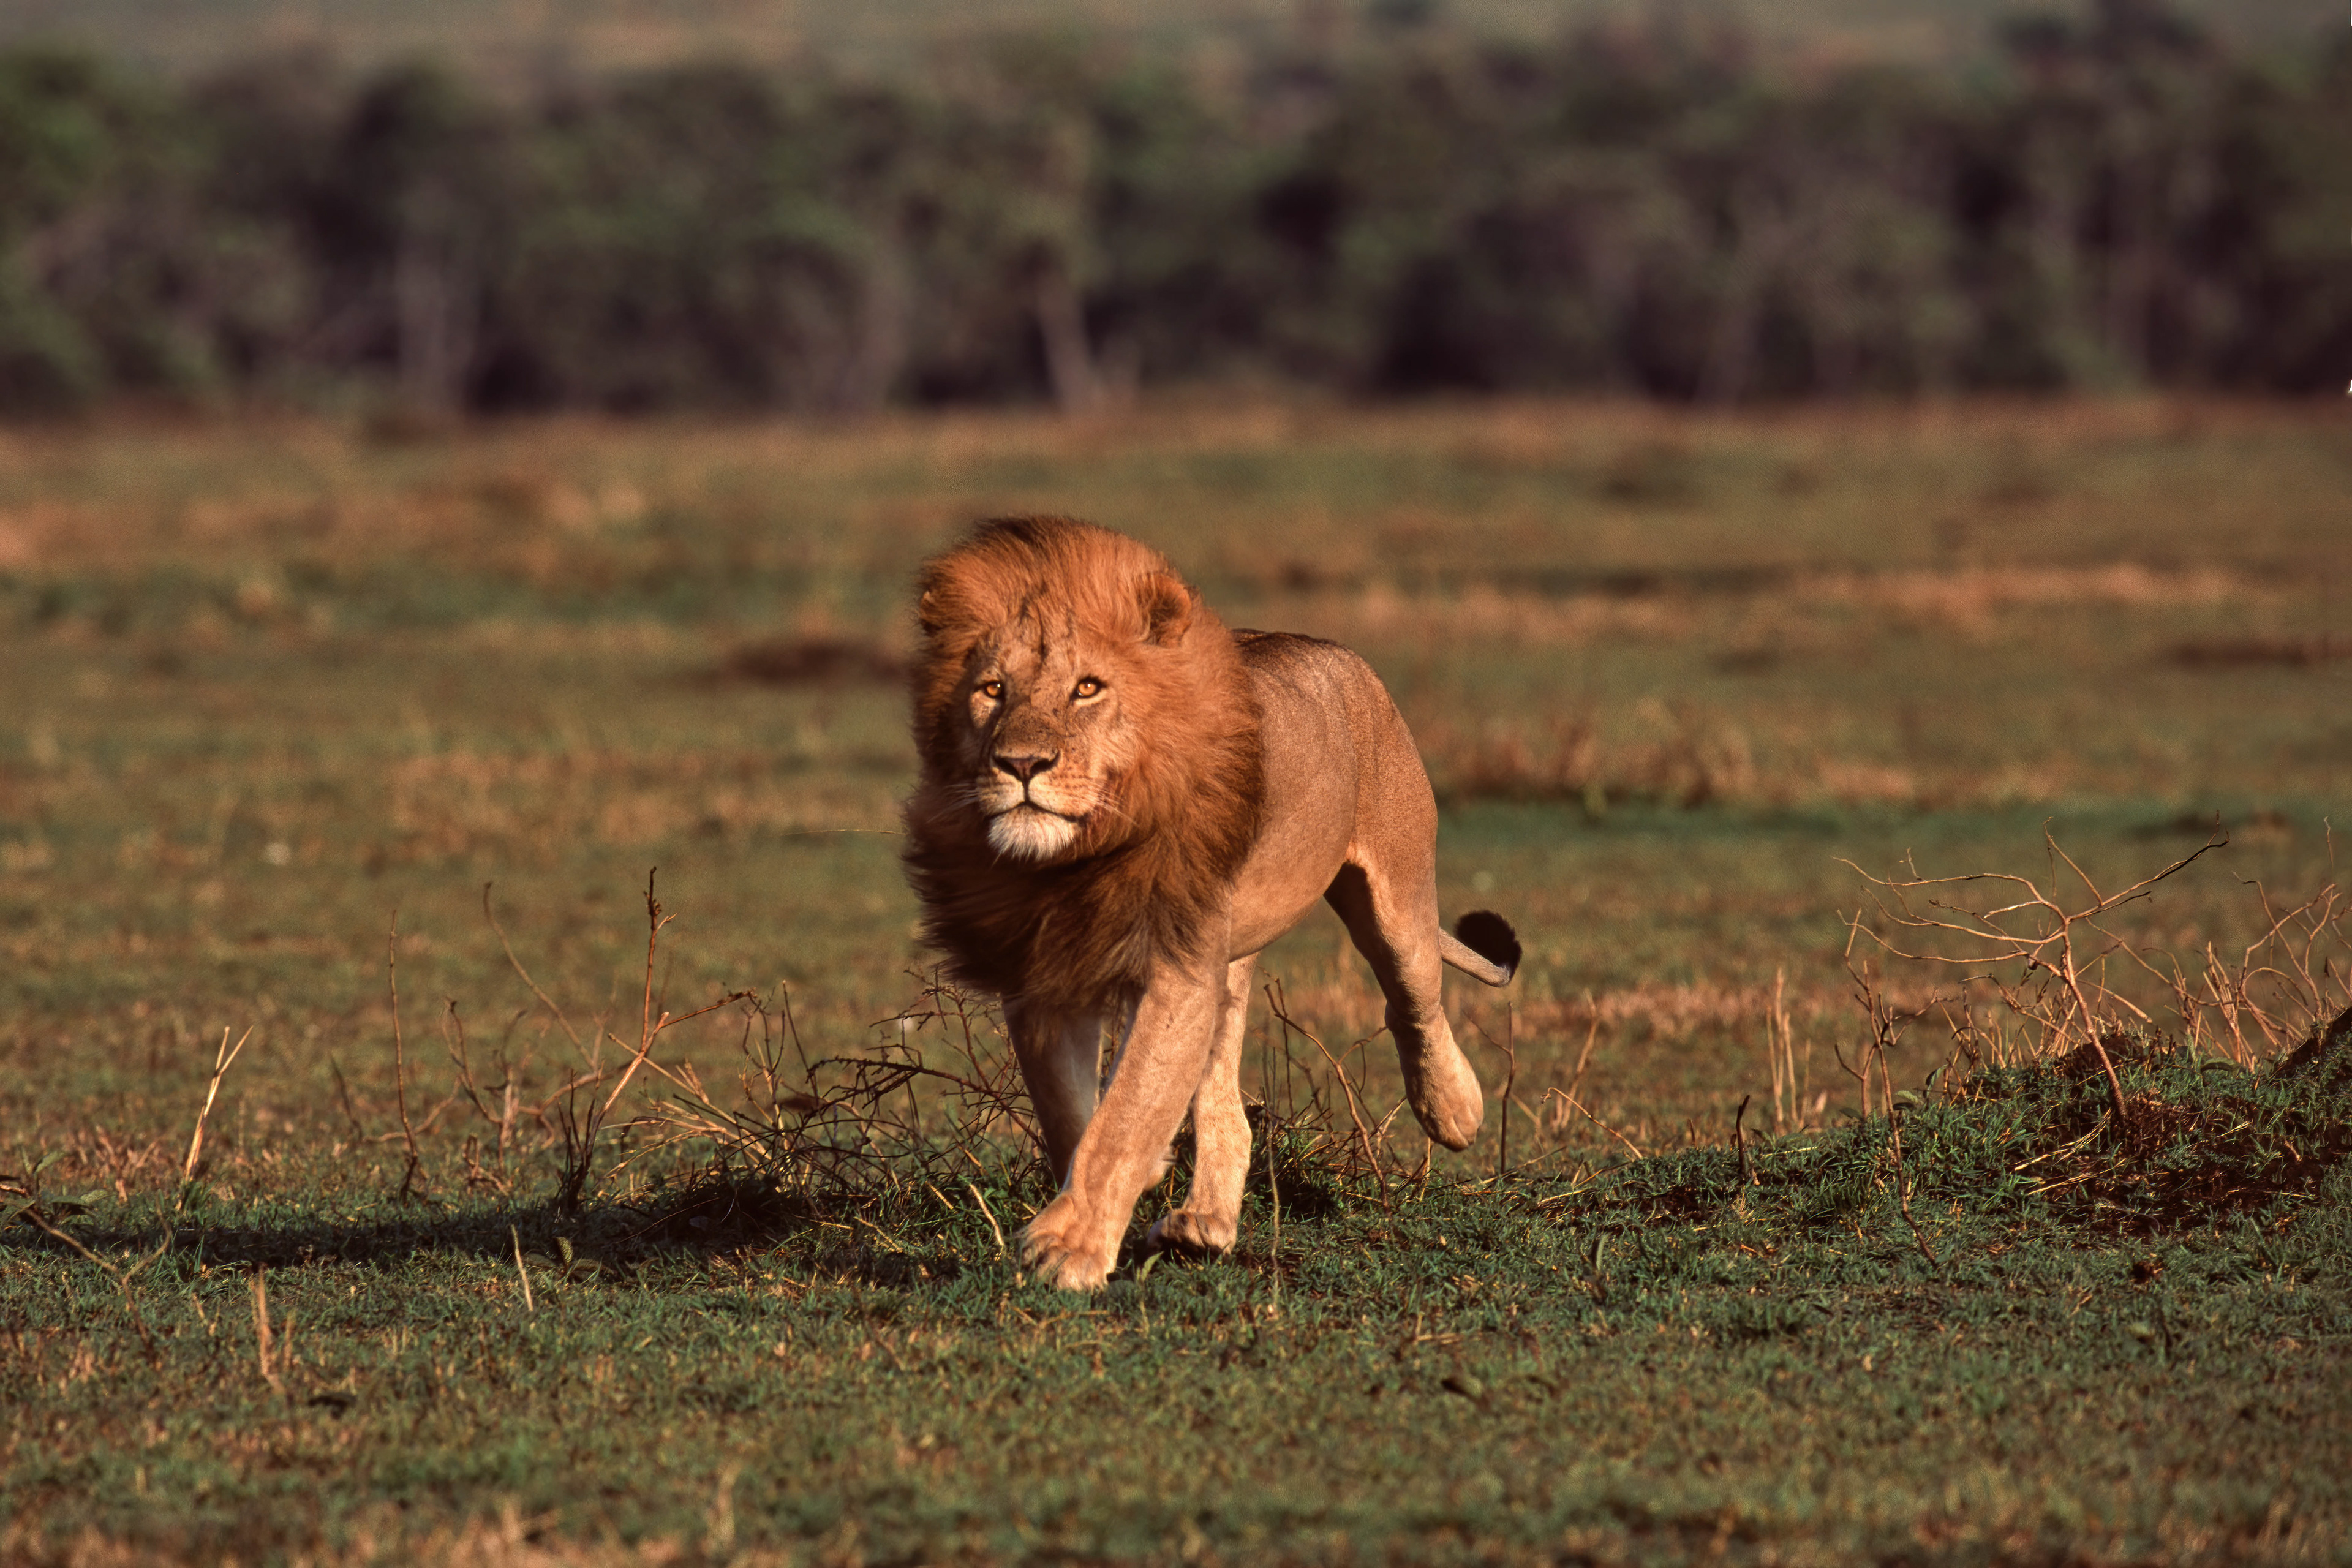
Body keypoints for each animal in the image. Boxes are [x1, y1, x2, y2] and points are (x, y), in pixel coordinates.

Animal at [903, 516, 1520, 1291]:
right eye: (991, 689)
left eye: (1087, 688)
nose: (1020, 764)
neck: (1083, 853)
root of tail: (1340, 656)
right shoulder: (1048, 975)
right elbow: (1074, 1114)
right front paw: (1103, 1210)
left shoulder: (1176, 970)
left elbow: (1125, 1113)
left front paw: (1068, 1249)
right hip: (1227, 959)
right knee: (1226, 1096)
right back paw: (1205, 1225)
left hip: (1397, 897)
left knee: (1414, 1000)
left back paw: (1457, 1112)